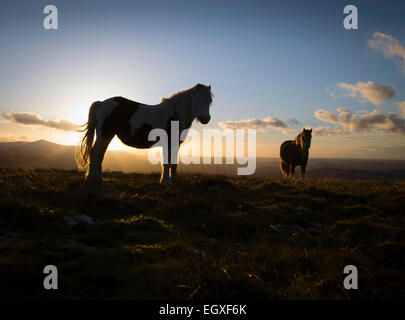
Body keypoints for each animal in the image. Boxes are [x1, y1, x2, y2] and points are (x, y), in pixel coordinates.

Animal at [77, 84, 213, 185]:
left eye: (209, 101)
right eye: (197, 100)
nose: (206, 119)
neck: (174, 114)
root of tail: (101, 103)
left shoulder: (175, 144)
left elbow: (174, 163)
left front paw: (173, 181)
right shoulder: (168, 143)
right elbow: (167, 162)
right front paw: (165, 182)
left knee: (99, 155)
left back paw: (97, 178)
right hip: (104, 135)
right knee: (95, 153)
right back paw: (92, 179)